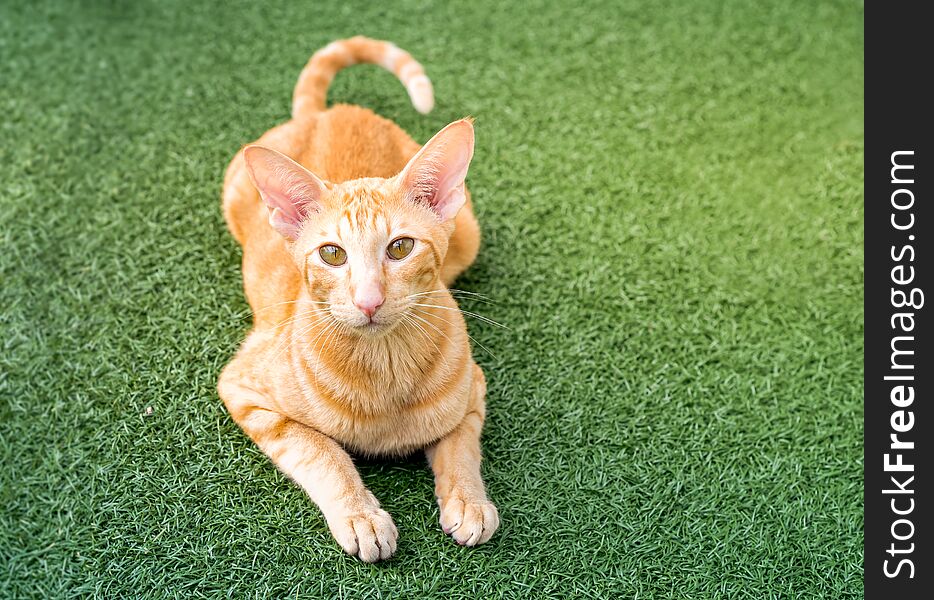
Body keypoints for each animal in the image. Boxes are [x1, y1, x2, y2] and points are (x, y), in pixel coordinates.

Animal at [218, 36, 498, 564]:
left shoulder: (474, 387)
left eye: (401, 247)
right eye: (332, 254)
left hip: (469, 234)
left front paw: (469, 500)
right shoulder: (243, 389)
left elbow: (460, 445)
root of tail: (334, 110)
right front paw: (359, 515)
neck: (384, 367)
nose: (369, 300)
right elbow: (321, 451)